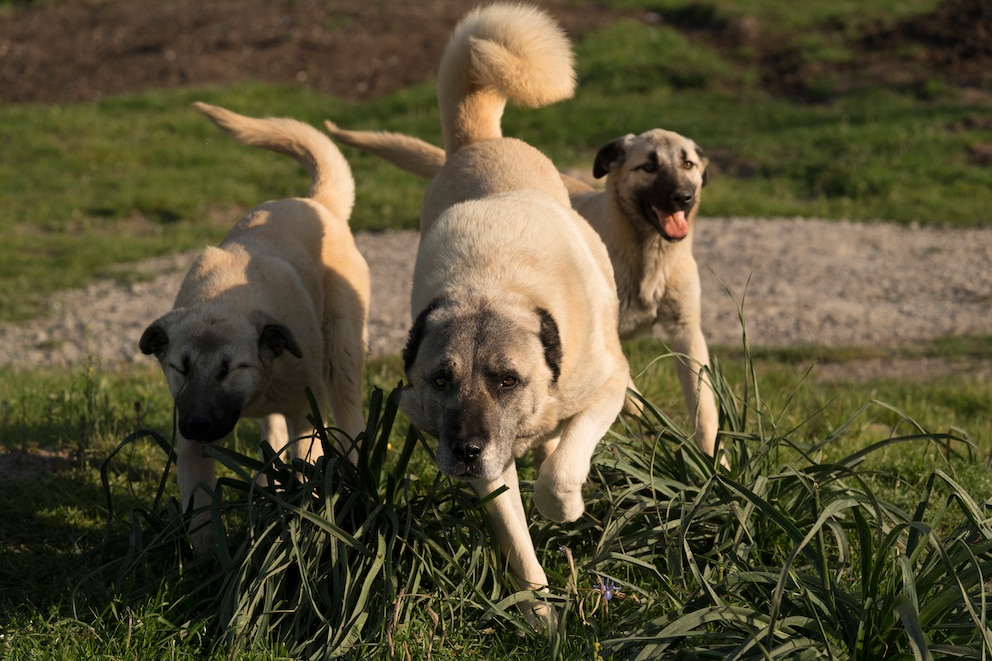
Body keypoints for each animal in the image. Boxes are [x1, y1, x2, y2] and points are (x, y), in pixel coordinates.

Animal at [330, 109, 716, 458]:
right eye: (648, 167)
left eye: (688, 164)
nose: (683, 197)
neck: (647, 254)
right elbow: (627, 399)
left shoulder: (685, 330)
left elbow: (705, 409)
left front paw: (713, 463)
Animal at [398, 3, 628, 620]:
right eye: (441, 379)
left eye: (507, 380)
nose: (464, 451)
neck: (490, 288)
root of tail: (476, 143)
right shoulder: (491, 469)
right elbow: (517, 541)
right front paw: (540, 616)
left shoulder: (610, 384)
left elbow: (561, 471)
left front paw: (565, 507)